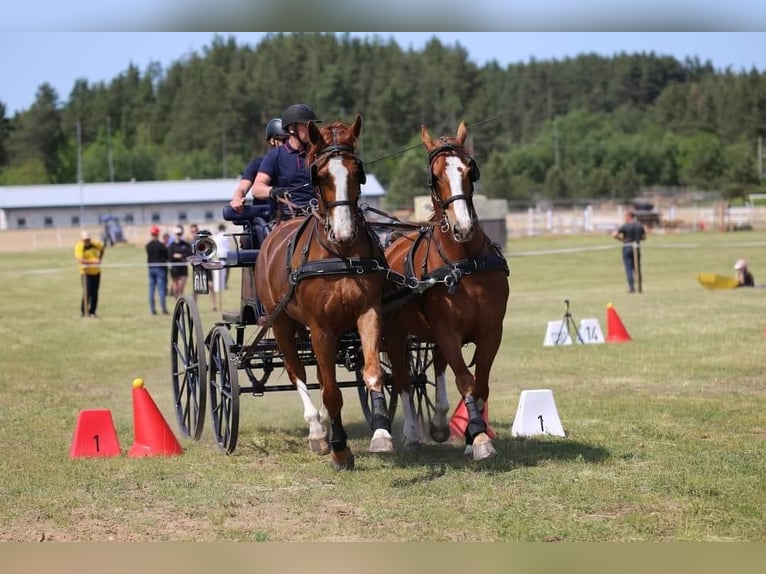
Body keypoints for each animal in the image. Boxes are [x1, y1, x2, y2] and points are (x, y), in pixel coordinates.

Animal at [254, 117, 396, 472]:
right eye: (319, 175)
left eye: (358, 172)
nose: (344, 231)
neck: (340, 253)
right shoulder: (320, 327)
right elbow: (331, 391)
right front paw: (339, 449)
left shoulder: (367, 312)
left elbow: (371, 372)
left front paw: (380, 431)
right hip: (282, 324)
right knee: (297, 371)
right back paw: (318, 433)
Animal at [388, 121, 508, 464]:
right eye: (435, 176)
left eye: (469, 169)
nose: (463, 227)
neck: (464, 261)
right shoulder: (447, 329)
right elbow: (466, 381)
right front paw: (480, 439)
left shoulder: (491, 331)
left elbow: (481, 386)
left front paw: (470, 436)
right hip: (393, 333)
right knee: (402, 378)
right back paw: (412, 434)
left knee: (438, 367)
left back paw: (440, 422)